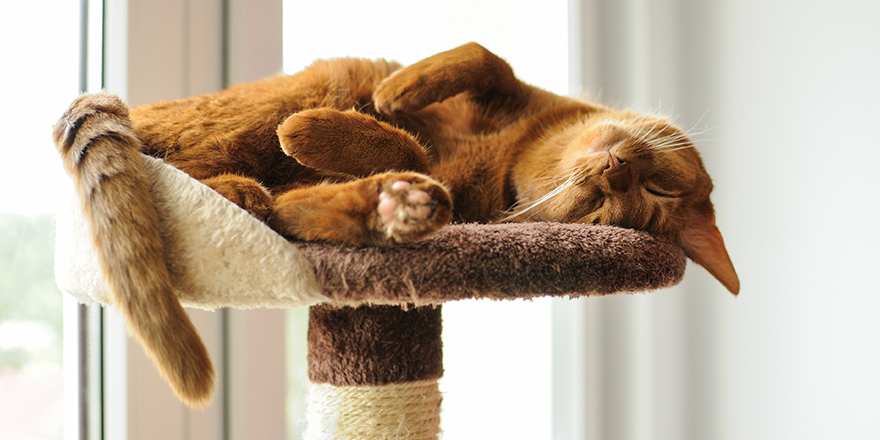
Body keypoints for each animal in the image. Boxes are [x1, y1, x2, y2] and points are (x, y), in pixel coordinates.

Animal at [48, 43, 736, 408]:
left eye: (613, 207)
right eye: (656, 184)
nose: (616, 169)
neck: (515, 159)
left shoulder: (458, 188)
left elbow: (410, 154)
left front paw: (344, 143)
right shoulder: (507, 94)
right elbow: (484, 58)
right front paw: (401, 91)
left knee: (254, 193)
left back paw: (361, 195)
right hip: (300, 88)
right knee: (178, 163)